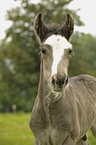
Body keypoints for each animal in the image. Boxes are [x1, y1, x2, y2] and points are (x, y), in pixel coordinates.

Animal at [29, 12, 96, 145]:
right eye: (43, 50)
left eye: (69, 51)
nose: (59, 80)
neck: (49, 113)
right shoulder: (39, 139)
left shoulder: (69, 138)